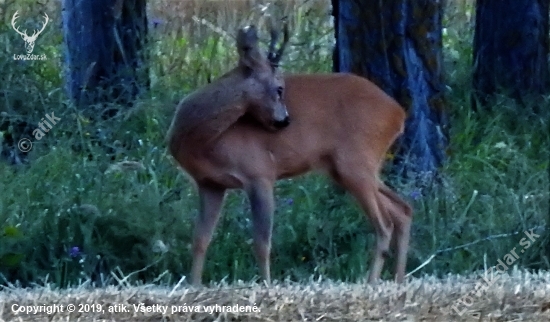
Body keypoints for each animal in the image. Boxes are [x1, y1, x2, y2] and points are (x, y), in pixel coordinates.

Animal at [168, 23, 414, 286]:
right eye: (279, 88)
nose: (285, 120)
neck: (202, 141)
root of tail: (398, 114)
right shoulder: (210, 183)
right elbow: (200, 239)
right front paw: (193, 284)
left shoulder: (260, 173)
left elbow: (262, 243)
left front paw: (266, 284)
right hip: (348, 168)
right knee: (402, 209)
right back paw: (398, 279)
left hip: (356, 162)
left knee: (385, 223)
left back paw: (372, 281)